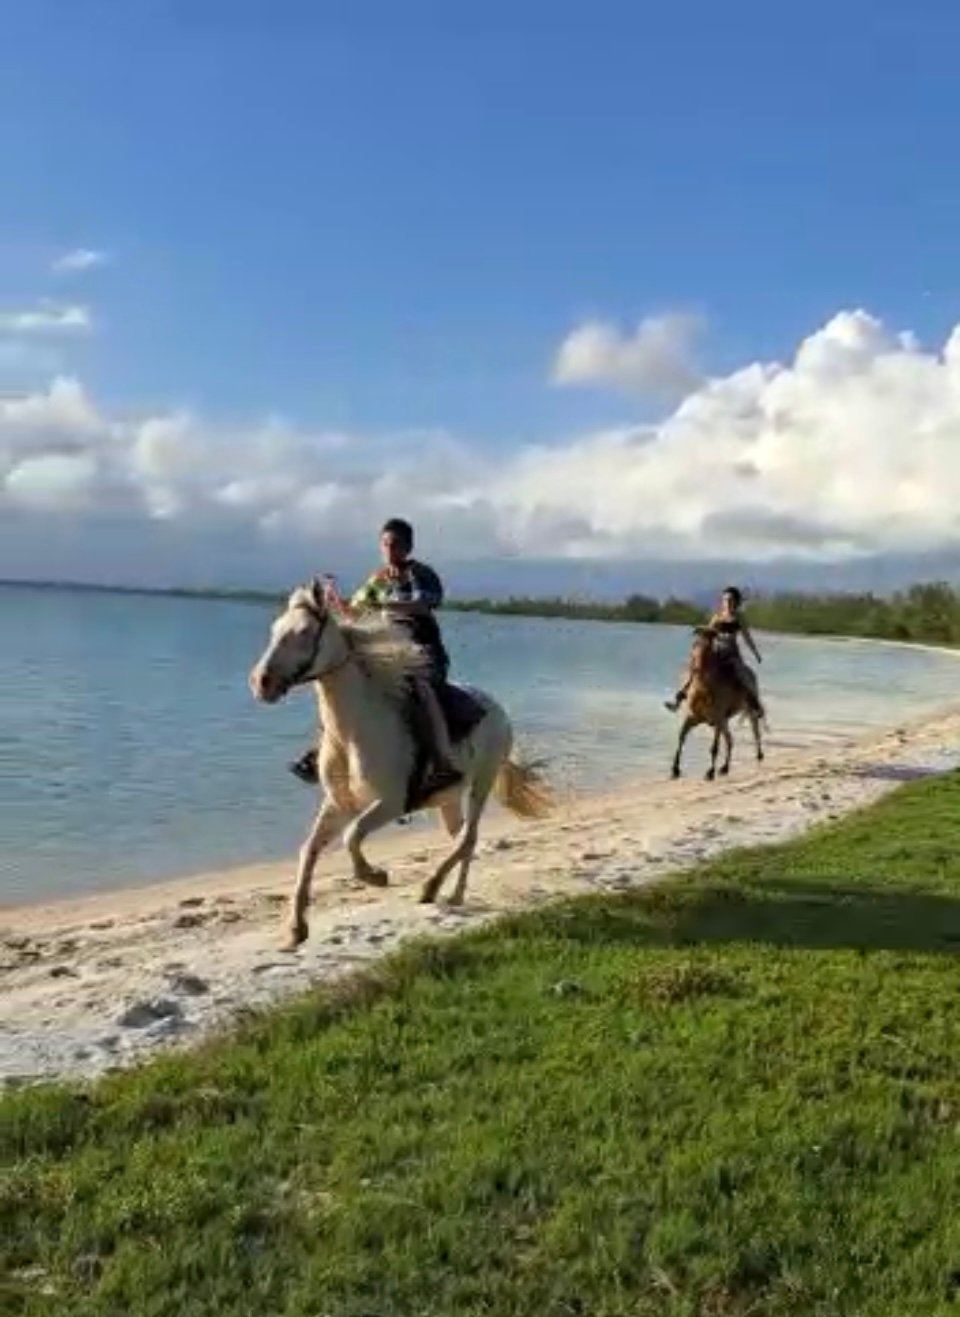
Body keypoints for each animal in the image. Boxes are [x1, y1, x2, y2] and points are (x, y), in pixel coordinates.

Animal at [247, 576, 550, 948]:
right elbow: (309, 852)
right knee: (460, 839)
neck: (355, 732)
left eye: (304, 632)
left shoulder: (389, 804)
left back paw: (435, 888)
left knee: (469, 837)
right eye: (275, 629)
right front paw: (296, 928)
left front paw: (375, 876)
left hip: (482, 781)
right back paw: (450, 893)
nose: (261, 683)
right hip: (448, 799)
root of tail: (496, 708)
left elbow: (351, 836)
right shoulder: (337, 804)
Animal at [666, 626, 763, 779]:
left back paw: (759, 756)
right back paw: (725, 768)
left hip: (748, 711)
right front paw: (675, 769)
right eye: (695, 644)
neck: (703, 689)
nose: (695, 666)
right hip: (725, 721)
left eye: (710, 642)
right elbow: (681, 737)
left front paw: (710, 773)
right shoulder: (694, 717)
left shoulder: (717, 719)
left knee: (755, 731)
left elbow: (714, 747)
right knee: (730, 739)